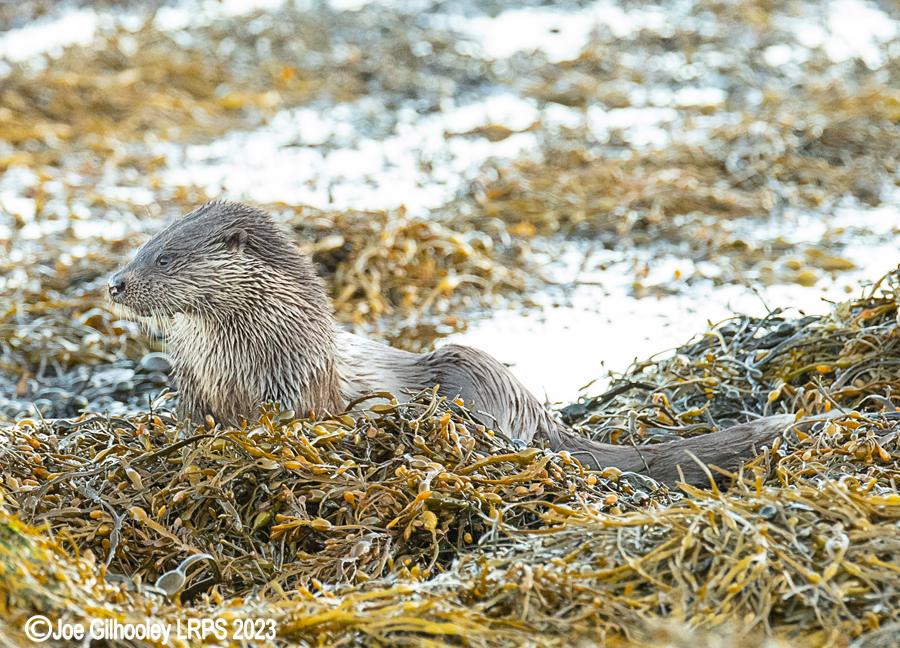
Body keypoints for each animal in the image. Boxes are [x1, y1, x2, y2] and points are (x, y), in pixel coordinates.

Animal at [108, 201, 805, 486]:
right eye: (139, 248)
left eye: (164, 258)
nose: (115, 282)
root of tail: (539, 413)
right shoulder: (193, 388)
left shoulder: (301, 386)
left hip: (470, 366)